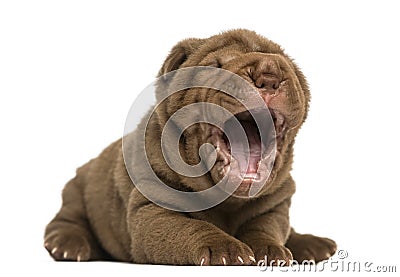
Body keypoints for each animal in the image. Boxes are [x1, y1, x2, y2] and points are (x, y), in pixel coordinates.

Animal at [44, 29, 338, 264]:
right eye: (216, 66)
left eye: (286, 67)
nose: (269, 73)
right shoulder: (151, 211)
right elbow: (188, 227)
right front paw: (226, 249)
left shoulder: (276, 204)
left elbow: (265, 227)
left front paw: (269, 250)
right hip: (77, 189)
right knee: (68, 218)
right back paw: (67, 244)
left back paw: (313, 244)